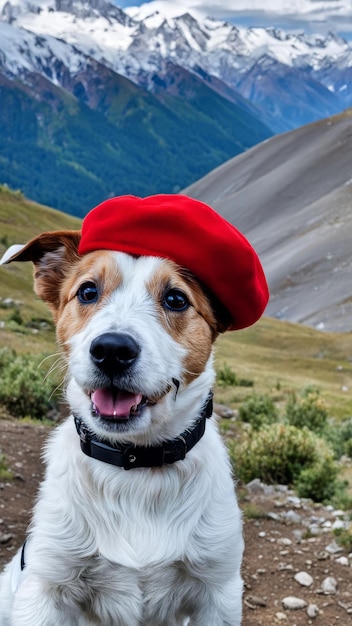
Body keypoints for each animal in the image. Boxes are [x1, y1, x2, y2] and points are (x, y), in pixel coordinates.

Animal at [0, 193, 266, 620]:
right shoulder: (46, 586)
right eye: (87, 292)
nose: (111, 350)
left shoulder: (218, 590)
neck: (137, 468)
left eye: (175, 299)